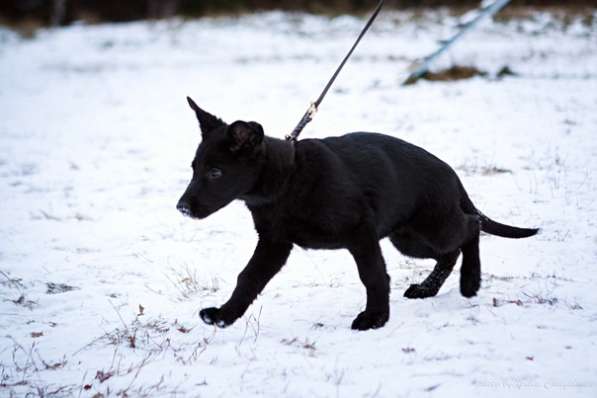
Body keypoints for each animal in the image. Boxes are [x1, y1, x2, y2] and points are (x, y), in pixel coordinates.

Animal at [176, 98, 536, 332]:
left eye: (216, 173)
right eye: (194, 169)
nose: (181, 207)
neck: (289, 178)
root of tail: (451, 173)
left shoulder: (361, 233)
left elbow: (373, 275)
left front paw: (375, 318)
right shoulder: (274, 243)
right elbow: (248, 278)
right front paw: (225, 315)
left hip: (432, 226)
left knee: (471, 227)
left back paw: (470, 281)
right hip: (408, 238)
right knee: (449, 252)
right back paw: (427, 289)